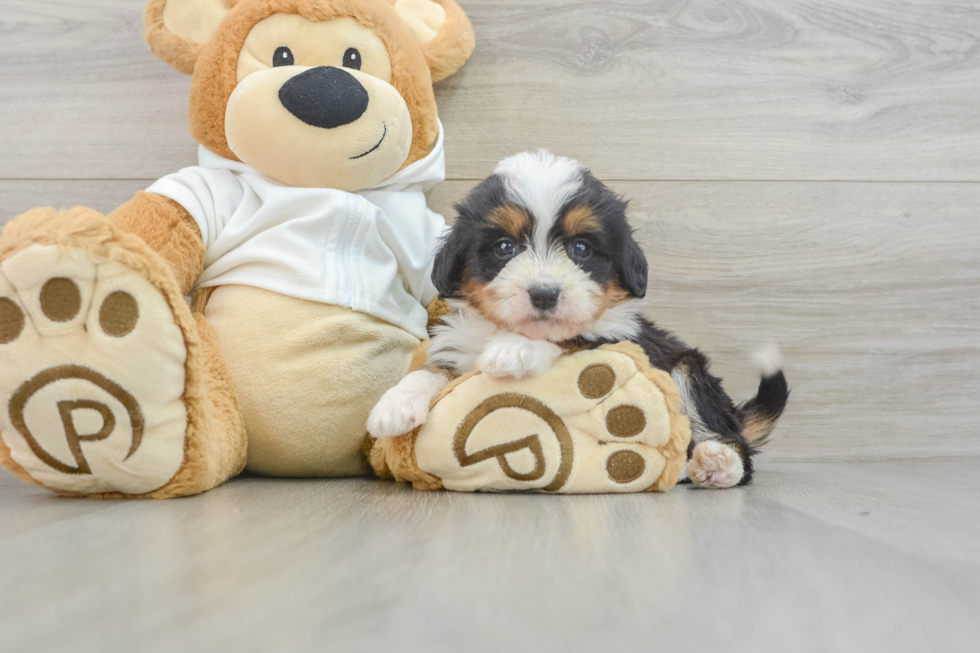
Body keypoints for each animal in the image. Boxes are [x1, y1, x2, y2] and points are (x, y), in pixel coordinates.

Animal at [368, 152, 788, 488]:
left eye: (581, 249)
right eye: (504, 247)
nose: (544, 294)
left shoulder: (618, 340)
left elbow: (570, 336)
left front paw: (515, 350)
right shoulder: (460, 346)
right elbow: (434, 369)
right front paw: (395, 404)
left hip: (687, 372)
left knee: (733, 444)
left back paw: (718, 464)